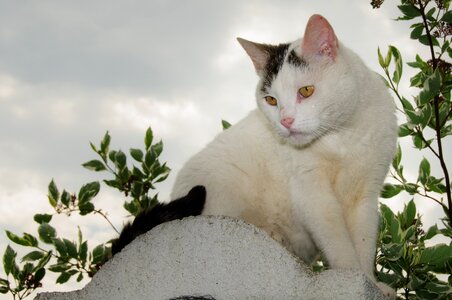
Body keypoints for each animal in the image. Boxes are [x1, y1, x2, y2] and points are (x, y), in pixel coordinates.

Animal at [171, 14, 398, 298]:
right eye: (270, 100)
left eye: (306, 91)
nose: (285, 121)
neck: (342, 136)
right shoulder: (313, 194)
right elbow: (338, 242)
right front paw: (351, 274)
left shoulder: (365, 196)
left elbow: (364, 243)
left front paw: (371, 281)